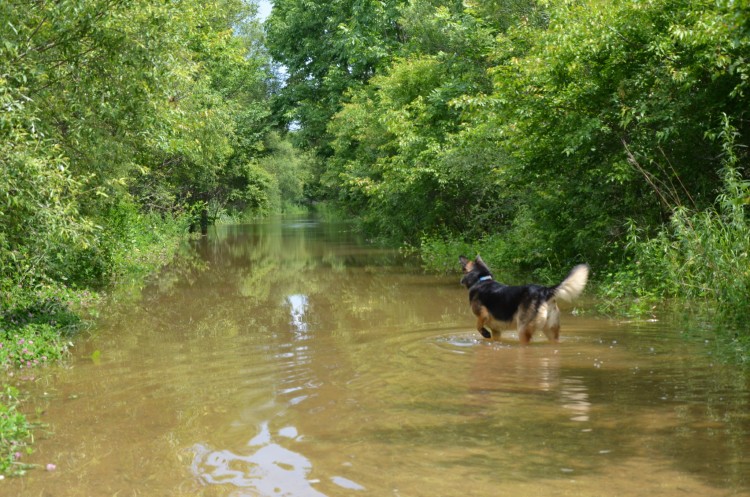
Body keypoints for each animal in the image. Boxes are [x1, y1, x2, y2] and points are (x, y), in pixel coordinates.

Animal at [462, 254, 592, 342]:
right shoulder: (496, 331)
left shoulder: (483, 314)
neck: (481, 280)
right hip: (551, 331)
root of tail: (544, 291)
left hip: (522, 329)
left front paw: (485, 333)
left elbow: (478, 326)